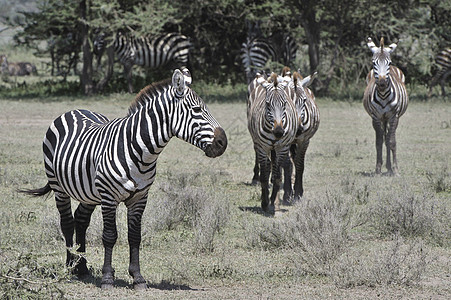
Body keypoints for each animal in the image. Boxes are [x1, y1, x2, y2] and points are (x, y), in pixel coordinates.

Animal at [19, 68, 228, 290]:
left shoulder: (140, 198)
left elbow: (135, 237)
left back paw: (81, 267)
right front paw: (107, 278)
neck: (141, 151)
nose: (223, 143)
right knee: (67, 223)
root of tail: (73, 110)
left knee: (81, 220)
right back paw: (69, 267)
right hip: (59, 186)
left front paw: (138, 278)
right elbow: (110, 236)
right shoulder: (109, 198)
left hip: (89, 192)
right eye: (197, 110)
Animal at [249, 72, 298, 213]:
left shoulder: (282, 148)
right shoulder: (262, 148)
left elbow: (277, 177)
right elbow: (264, 177)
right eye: (267, 104)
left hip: (276, 149)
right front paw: (264, 203)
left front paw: (272, 202)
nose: (279, 132)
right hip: (259, 143)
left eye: (285, 104)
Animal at [282, 67, 322, 204]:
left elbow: (300, 164)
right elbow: (287, 165)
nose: (298, 130)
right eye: (287, 102)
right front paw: (287, 193)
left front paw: (298, 193)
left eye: (304, 101)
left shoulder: (304, 141)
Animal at [364, 37, 410, 176]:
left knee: (389, 137)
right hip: (383, 118)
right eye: (374, 63)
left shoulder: (394, 116)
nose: (382, 84)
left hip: (390, 118)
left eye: (388, 63)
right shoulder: (376, 117)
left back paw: (390, 168)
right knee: (385, 137)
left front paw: (395, 170)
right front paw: (378, 169)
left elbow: (391, 142)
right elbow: (379, 142)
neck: (383, 95)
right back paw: (387, 167)